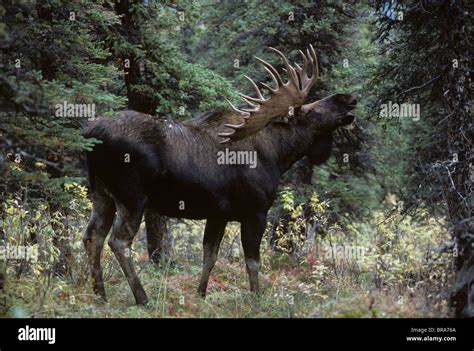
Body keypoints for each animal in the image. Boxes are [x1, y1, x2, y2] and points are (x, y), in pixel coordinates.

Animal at [82, 46, 356, 306]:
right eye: (311, 110)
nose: (348, 98)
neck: (279, 154)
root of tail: (90, 132)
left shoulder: (218, 214)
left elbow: (209, 256)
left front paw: (201, 294)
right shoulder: (255, 211)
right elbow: (252, 261)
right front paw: (257, 297)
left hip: (101, 194)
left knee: (92, 237)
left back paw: (100, 295)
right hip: (132, 197)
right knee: (118, 242)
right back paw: (142, 297)